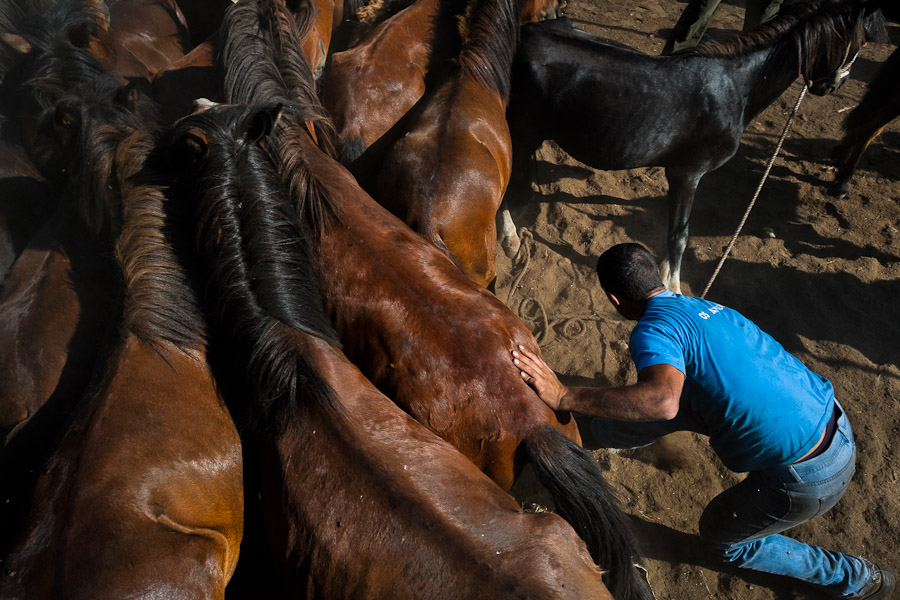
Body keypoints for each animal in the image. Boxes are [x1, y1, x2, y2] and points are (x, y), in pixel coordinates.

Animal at [506, 0, 884, 292]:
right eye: (860, 41)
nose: (834, 85)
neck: (736, 87)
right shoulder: (687, 174)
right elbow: (680, 235)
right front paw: (673, 288)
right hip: (521, 133)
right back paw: (510, 241)